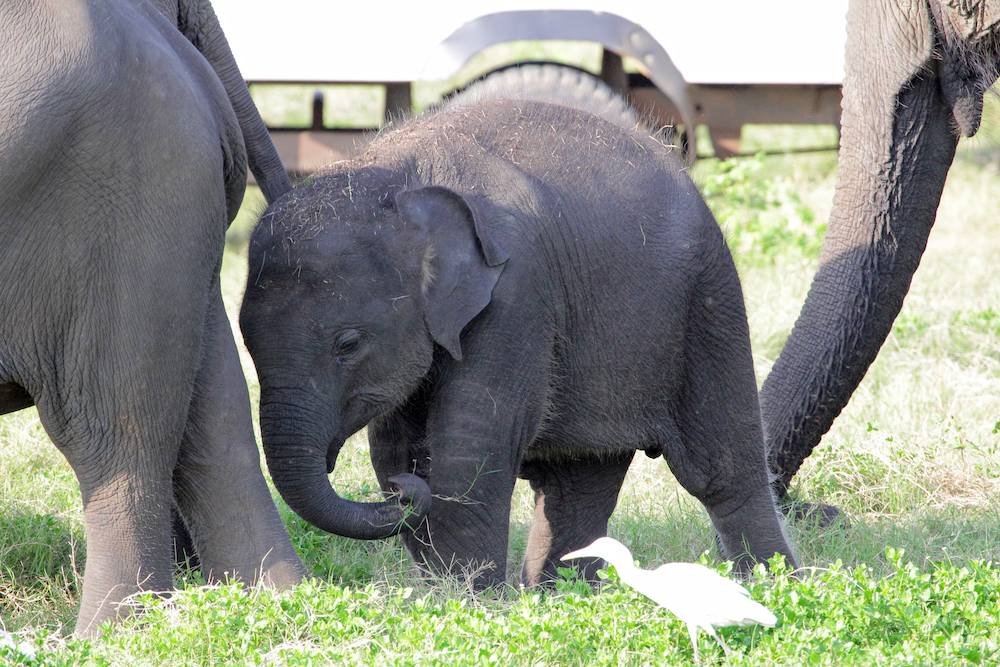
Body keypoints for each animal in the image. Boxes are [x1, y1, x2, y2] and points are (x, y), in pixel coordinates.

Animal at [242, 98, 796, 584]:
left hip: (707, 301)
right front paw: (449, 583)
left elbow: (470, 448)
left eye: (349, 344)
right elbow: (398, 447)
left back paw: (773, 588)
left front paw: (470, 601)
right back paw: (562, 598)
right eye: (246, 346)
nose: (401, 494)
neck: (395, 180)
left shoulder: (515, 296)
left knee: (722, 472)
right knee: (577, 482)